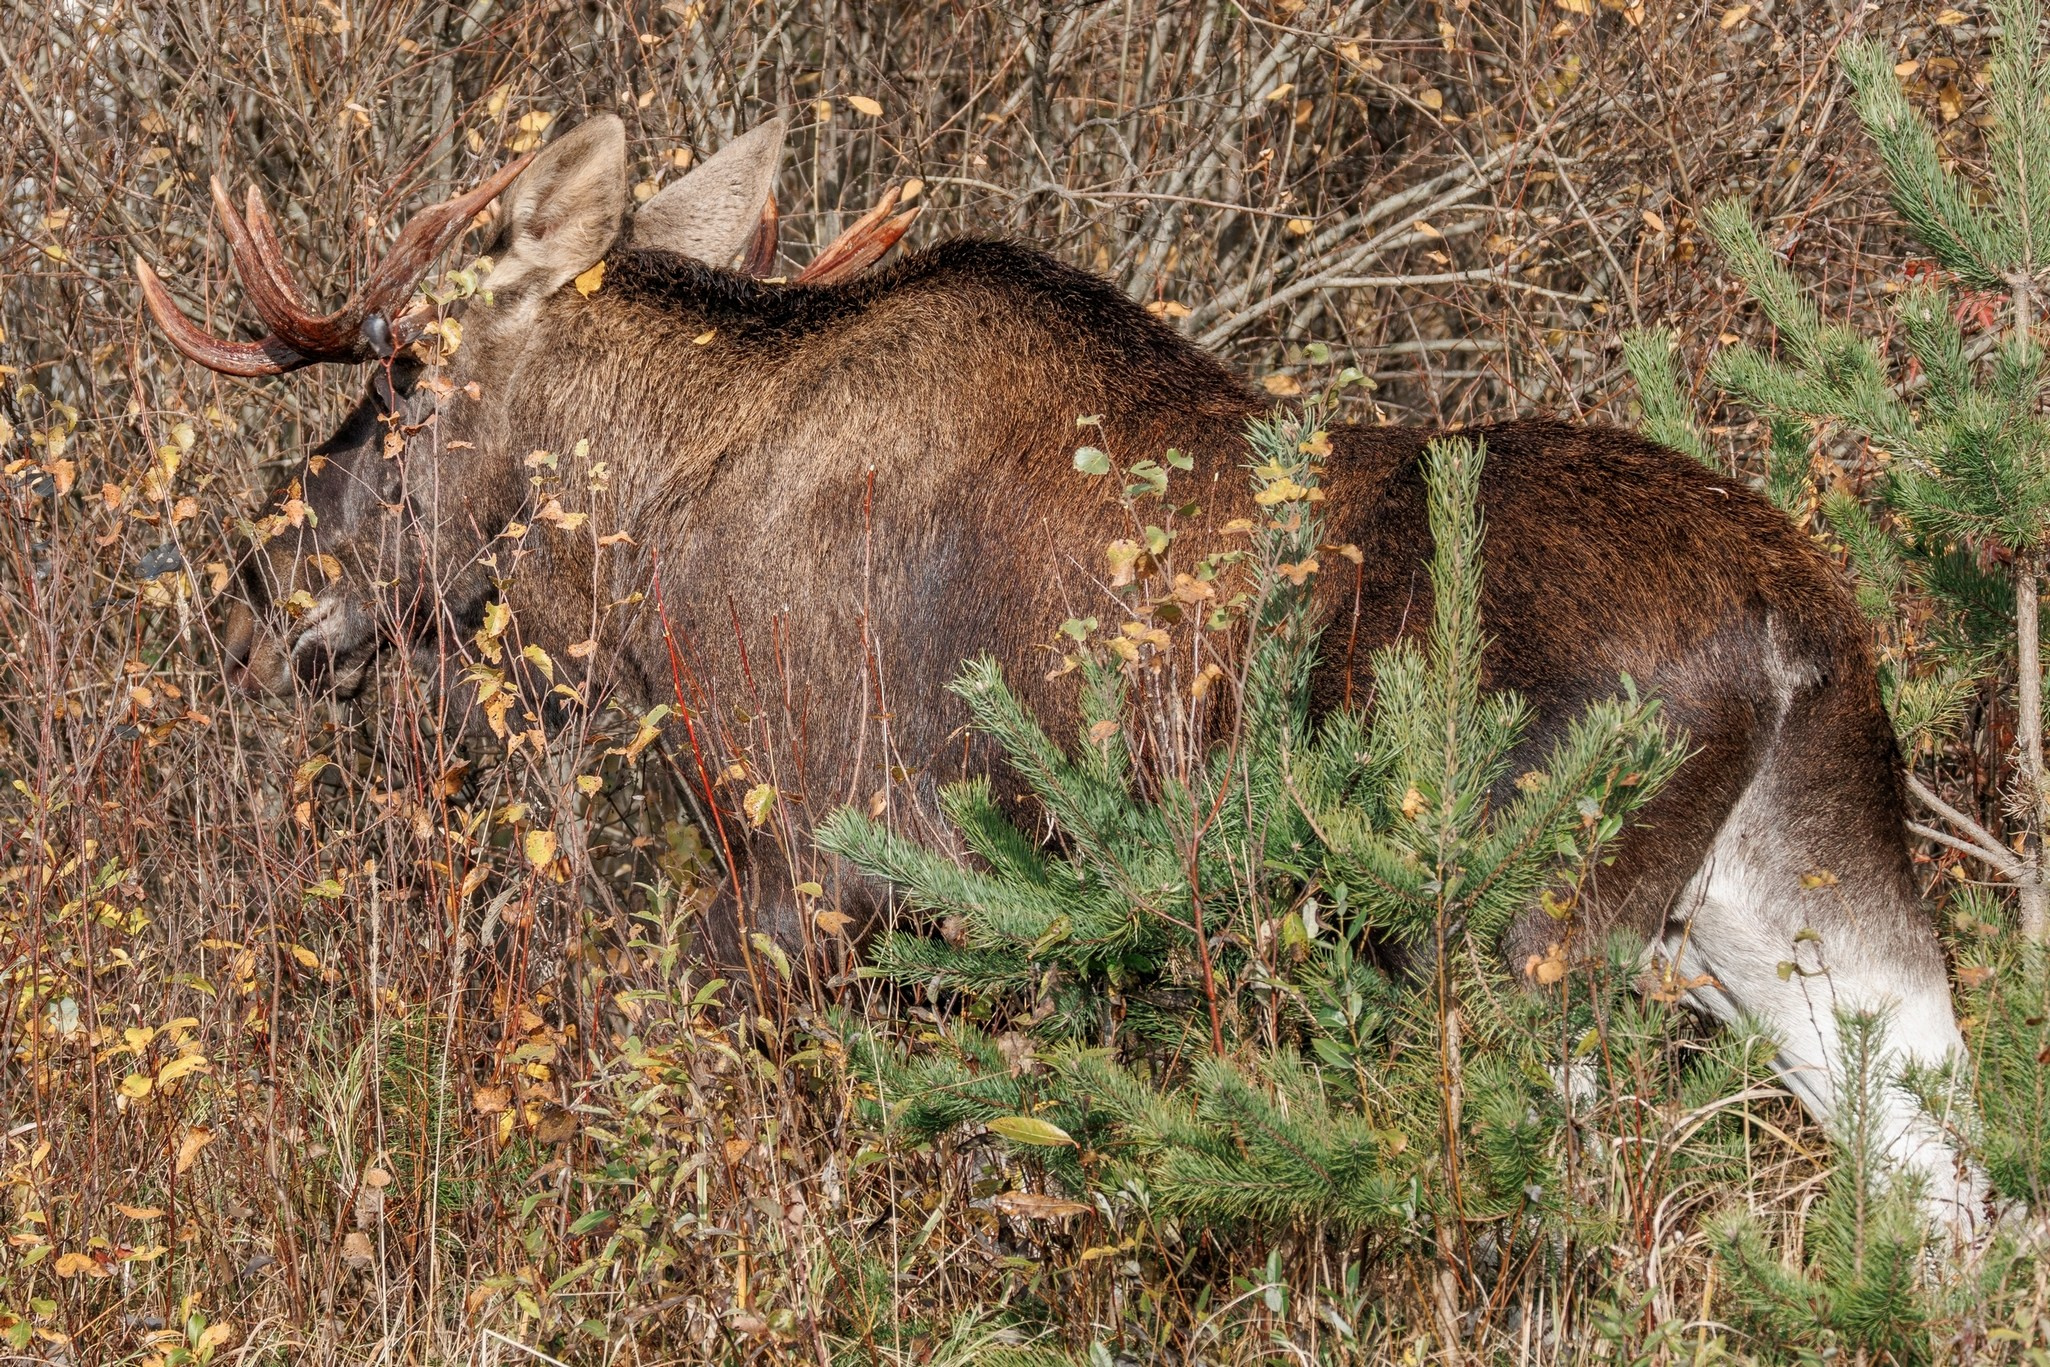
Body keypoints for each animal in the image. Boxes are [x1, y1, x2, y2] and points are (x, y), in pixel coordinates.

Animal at [136, 114, 1989, 1234]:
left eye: (399, 371)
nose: (257, 586)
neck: (658, 508)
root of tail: (1793, 625)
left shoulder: (811, 871)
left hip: (1521, 935)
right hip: (1813, 920)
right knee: (1951, 1202)